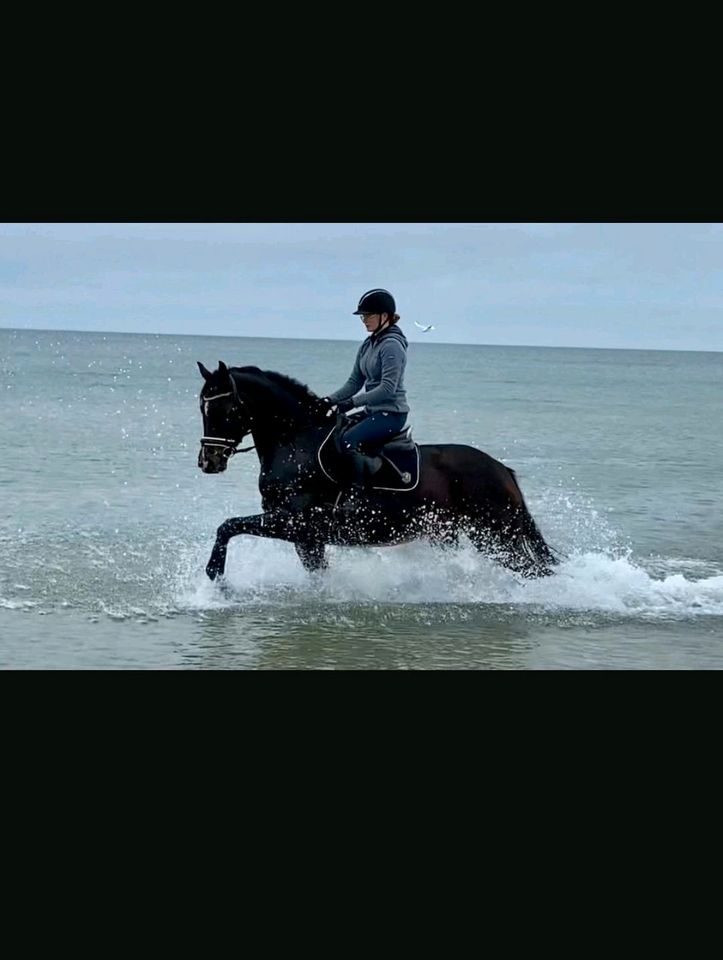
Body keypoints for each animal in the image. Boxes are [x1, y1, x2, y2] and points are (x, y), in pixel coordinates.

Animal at [195, 364, 556, 580]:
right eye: (202, 407)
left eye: (225, 409)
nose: (208, 461)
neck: (296, 444)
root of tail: (501, 469)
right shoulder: (306, 536)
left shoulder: (292, 521)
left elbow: (228, 526)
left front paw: (215, 574)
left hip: (496, 533)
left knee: (532, 570)